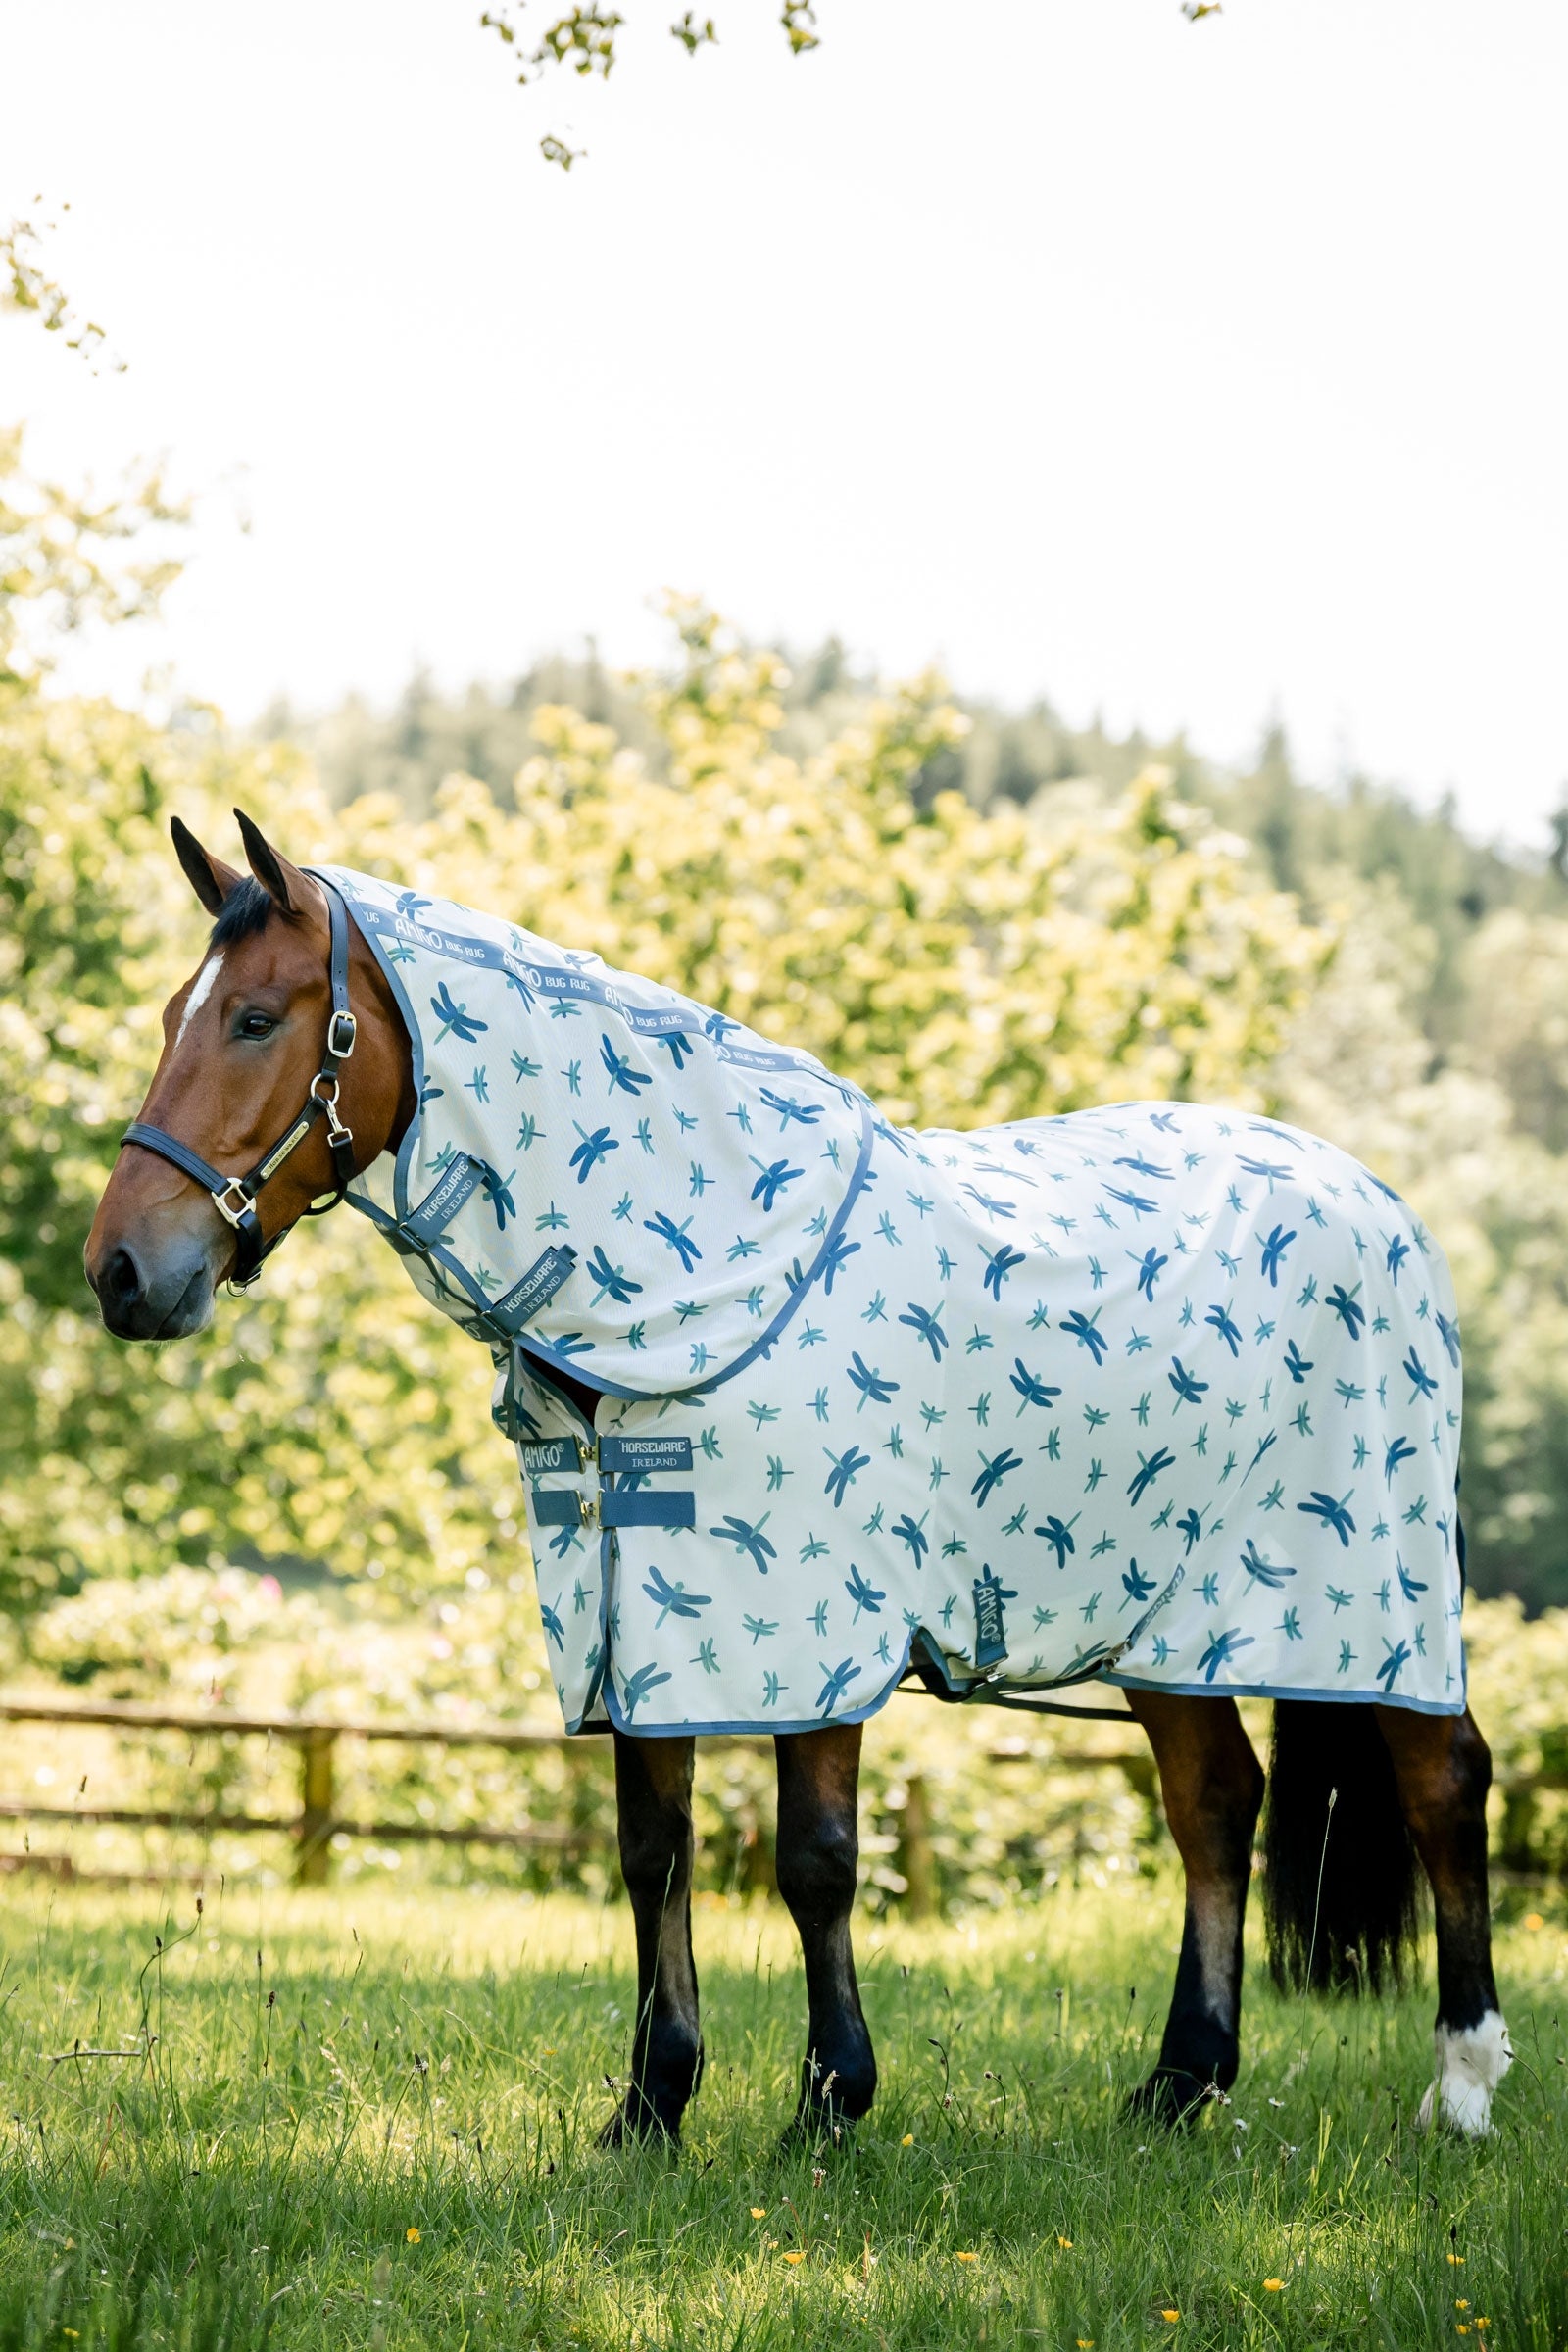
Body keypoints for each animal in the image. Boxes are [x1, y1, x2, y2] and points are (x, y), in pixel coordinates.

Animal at [85, 812, 1511, 2143]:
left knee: (1442, 1783)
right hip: (1171, 1623)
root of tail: (1379, 1203)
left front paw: (831, 2098)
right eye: (169, 1019)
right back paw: (1179, 2084)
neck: (711, 1264)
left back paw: (1461, 2088)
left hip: (1372, 1602)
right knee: (1215, 1804)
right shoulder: (635, 1616)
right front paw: (651, 2105)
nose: (121, 1273)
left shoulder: (816, 1632)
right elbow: (651, 1853)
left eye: (257, 1019)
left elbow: (814, 1859)